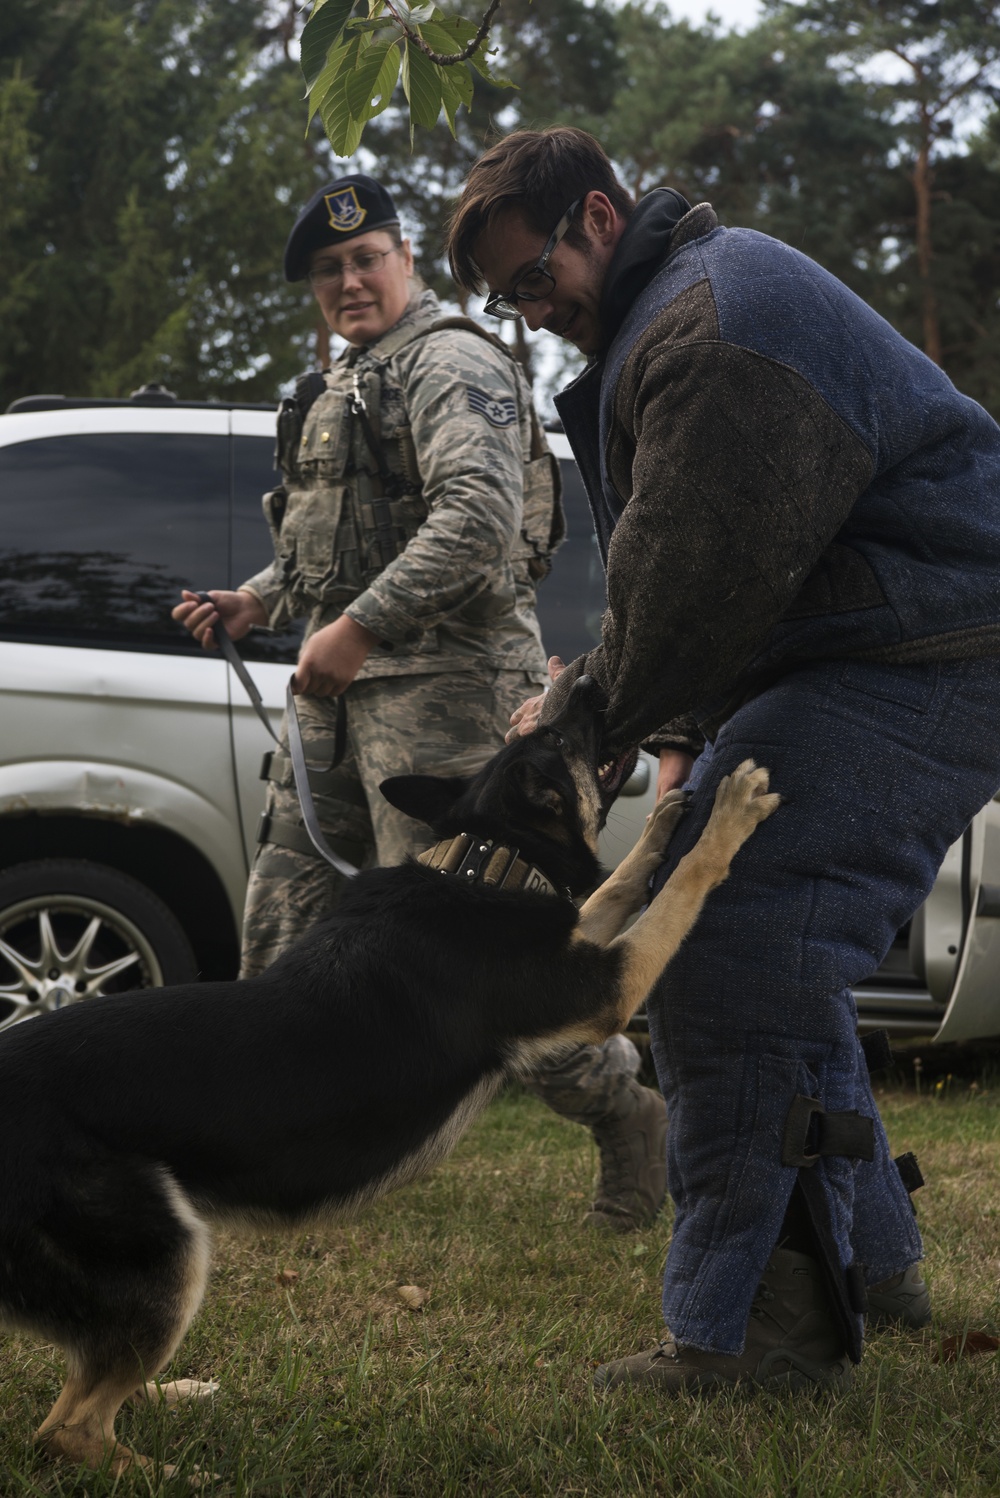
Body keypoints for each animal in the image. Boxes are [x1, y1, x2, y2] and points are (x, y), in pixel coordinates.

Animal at [0, 680, 778, 1474]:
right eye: (562, 740)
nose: (588, 686)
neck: (481, 857)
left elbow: (619, 886)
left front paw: (666, 820)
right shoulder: (605, 991)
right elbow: (677, 892)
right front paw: (729, 814)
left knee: (94, 1374)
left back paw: (170, 1392)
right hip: (167, 1251)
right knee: (69, 1428)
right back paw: (177, 1473)